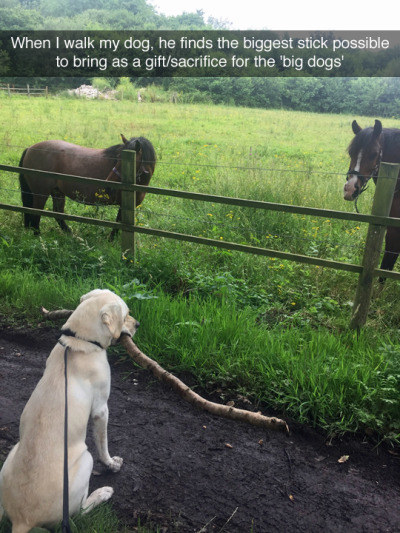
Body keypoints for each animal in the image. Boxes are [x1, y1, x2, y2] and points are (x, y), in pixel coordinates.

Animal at [0, 290, 139, 532]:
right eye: (126, 314)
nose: (138, 324)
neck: (79, 342)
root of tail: (22, 519)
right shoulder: (101, 410)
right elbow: (103, 445)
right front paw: (112, 464)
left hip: (10, 458)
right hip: (86, 460)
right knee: (80, 512)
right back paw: (102, 493)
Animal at [19, 134, 156, 236]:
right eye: (118, 158)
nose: (109, 182)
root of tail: (29, 148)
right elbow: (118, 226)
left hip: (57, 192)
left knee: (58, 215)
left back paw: (70, 234)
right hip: (40, 194)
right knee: (35, 215)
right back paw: (38, 237)